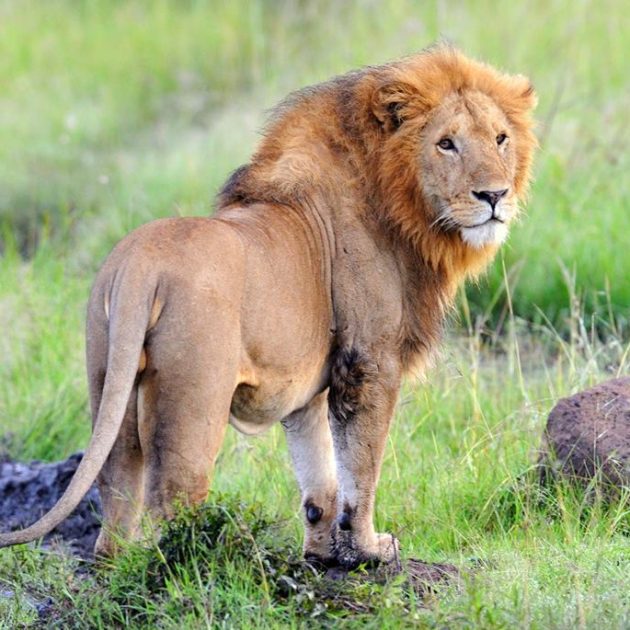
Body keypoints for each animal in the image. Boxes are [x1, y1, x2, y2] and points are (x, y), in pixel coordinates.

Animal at [0, 44, 540, 568]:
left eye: (500, 139)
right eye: (446, 143)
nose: (494, 195)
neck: (405, 212)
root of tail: (139, 263)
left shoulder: (307, 385)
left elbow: (319, 475)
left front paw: (323, 553)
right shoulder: (368, 363)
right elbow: (361, 467)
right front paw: (369, 549)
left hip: (108, 374)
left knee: (116, 490)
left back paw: (119, 569)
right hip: (195, 397)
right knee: (174, 496)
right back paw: (204, 562)